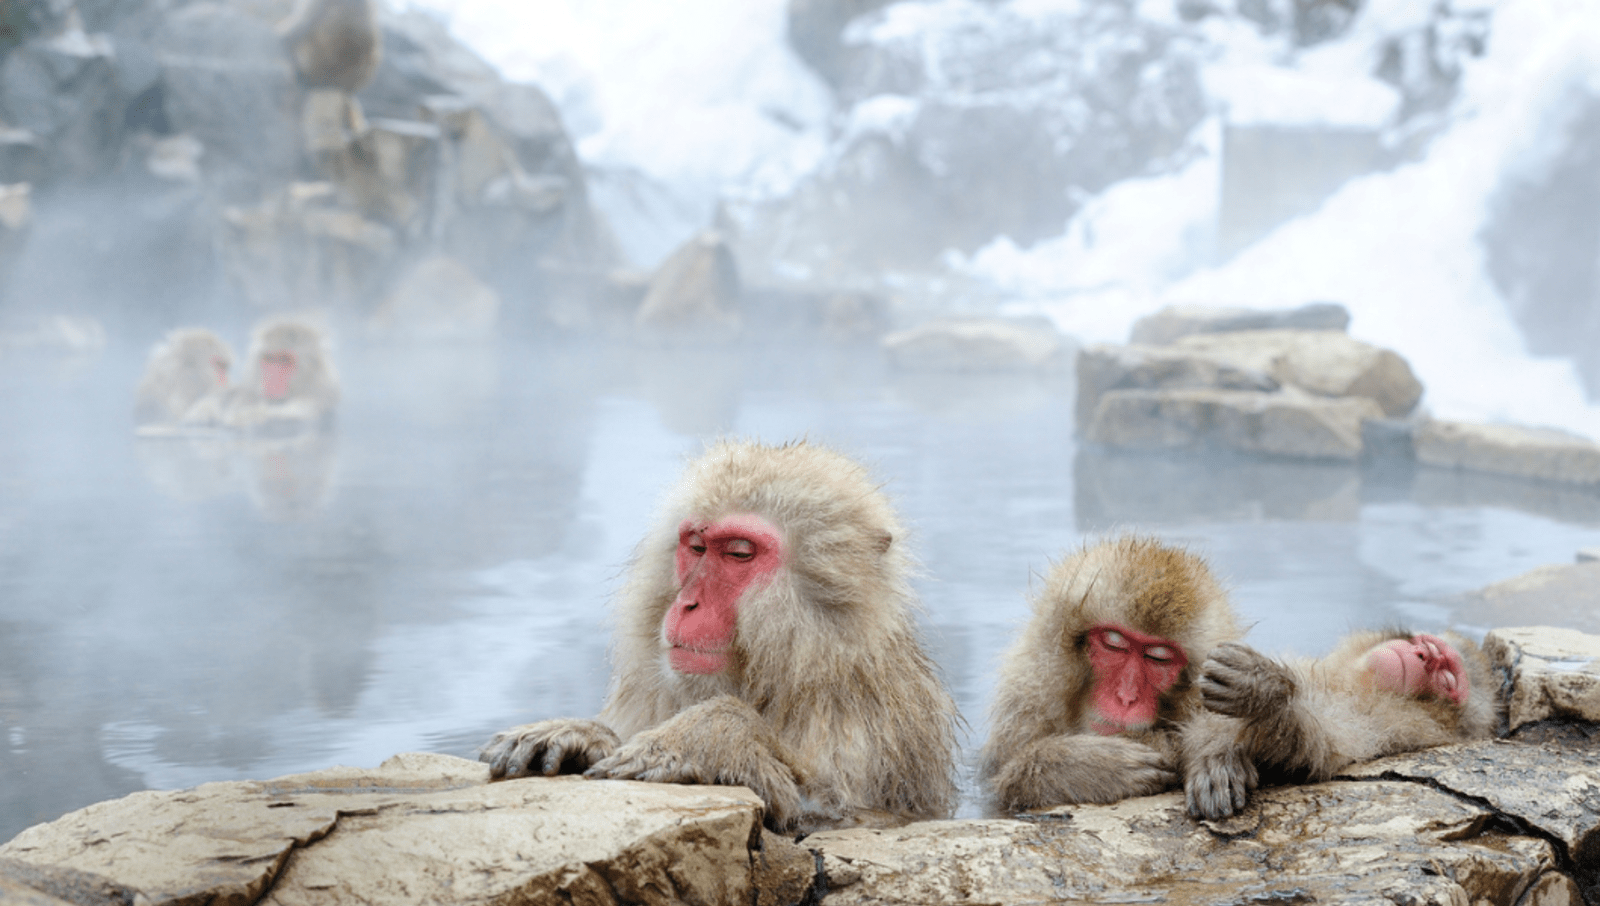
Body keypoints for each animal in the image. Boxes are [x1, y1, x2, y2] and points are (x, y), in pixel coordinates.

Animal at [473, 444, 947, 832]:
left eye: (739, 553)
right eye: (697, 547)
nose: (687, 604)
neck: (794, 668)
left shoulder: (865, 722)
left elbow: (836, 814)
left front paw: (710, 737)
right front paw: (580, 734)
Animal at [979, 541, 1241, 816]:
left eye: (1158, 658)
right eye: (1114, 643)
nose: (1126, 697)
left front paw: (1212, 750)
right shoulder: (1027, 702)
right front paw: (1087, 767)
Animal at [1177, 630, 1497, 825]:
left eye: (1447, 676)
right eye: (1428, 646)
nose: (1423, 655)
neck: (1358, 684)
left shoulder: (1388, 722)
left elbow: (1318, 747)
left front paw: (1262, 689)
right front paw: (1216, 757)